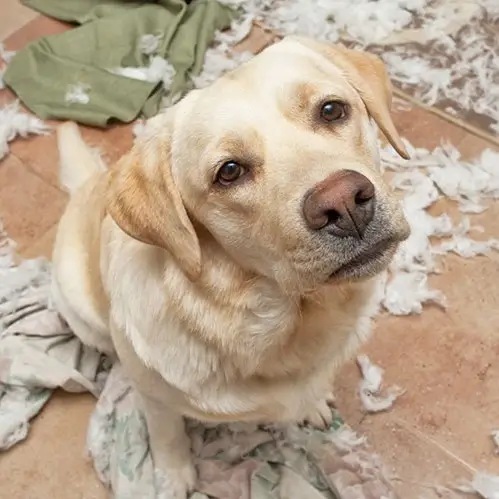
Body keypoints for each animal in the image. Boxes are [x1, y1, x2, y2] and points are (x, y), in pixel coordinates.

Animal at [51, 36, 410, 499]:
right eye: (230, 172)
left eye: (332, 110)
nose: (344, 203)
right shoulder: (156, 398)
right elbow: (166, 434)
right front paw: (172, 476)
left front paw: (313, 403)